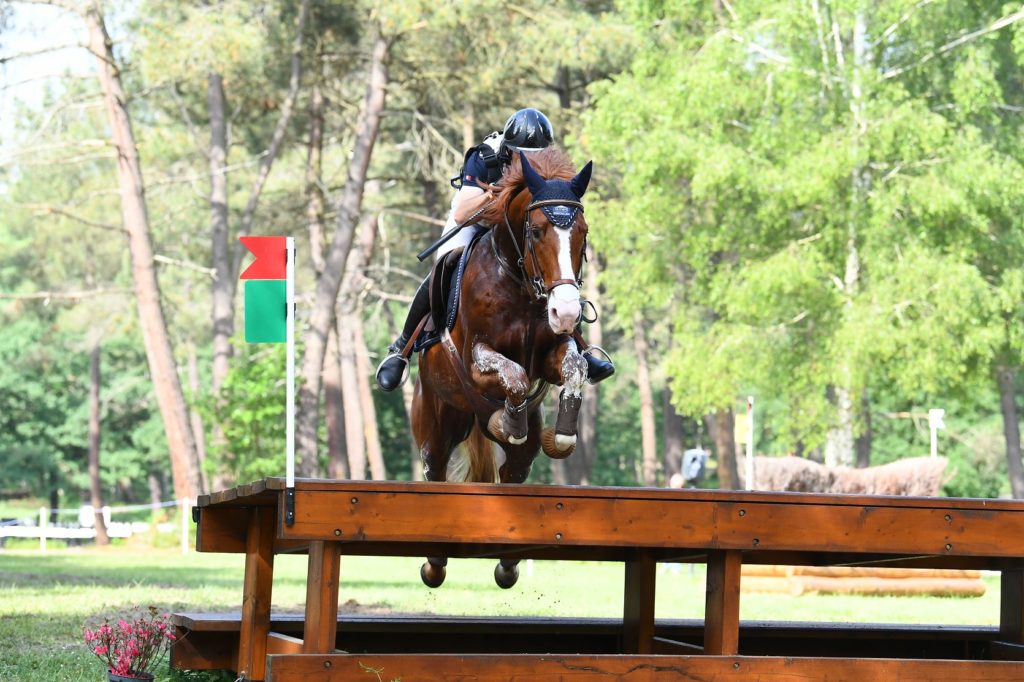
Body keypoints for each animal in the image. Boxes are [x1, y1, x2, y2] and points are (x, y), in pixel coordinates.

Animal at [411, 146, 598, 585]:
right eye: (537, 231)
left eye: (582, 233)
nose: (567, 311)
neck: (518, 280)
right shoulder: (475, 358)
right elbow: (512, 374)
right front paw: (508, 421)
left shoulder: (551, 353)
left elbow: (574, 369)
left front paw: (562, 432)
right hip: (437, 423)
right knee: (435, 473)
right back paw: (434, 563)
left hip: (520, 457)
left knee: (516, 473)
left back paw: (509, 565)